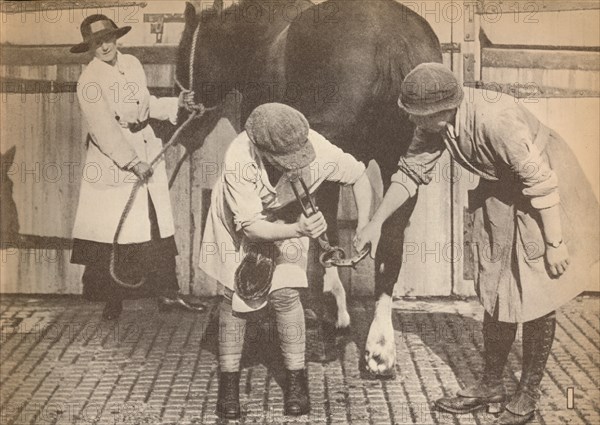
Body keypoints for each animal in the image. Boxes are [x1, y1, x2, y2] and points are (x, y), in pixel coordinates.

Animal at [176, 0, 442, 374]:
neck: (264, 39)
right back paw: (379, 348)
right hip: (405, 167)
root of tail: (394, 39)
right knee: (389, 248)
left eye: (184, 49)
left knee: (325, 227)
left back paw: (331, 323)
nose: (183, 110)